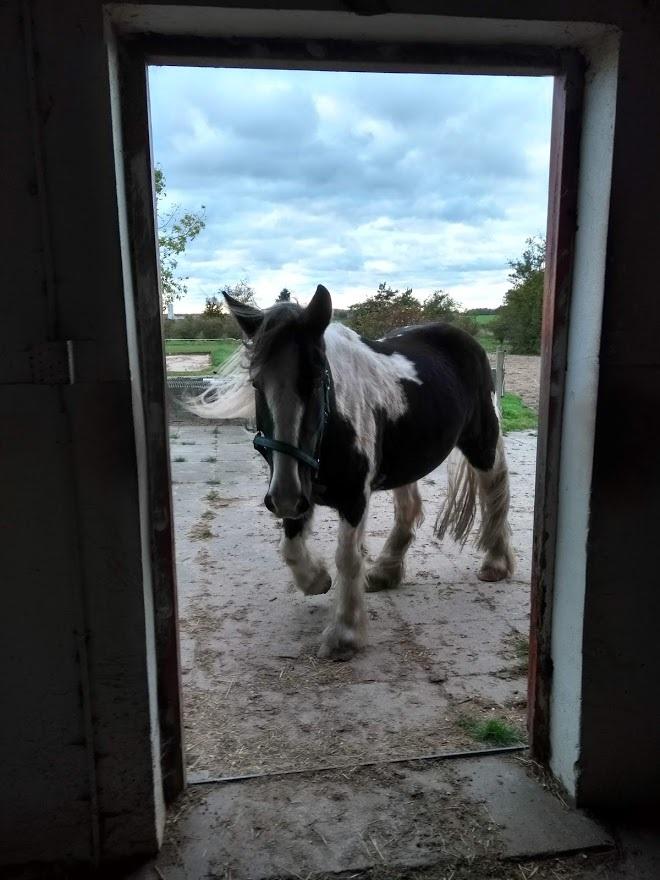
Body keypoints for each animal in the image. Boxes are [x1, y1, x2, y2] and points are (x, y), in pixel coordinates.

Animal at [188, 286, 512, 664]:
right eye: (256, 383)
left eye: (316, 380)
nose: (283, 498)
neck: (332, 424)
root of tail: (463, 339)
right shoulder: (296, 489)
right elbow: (291, 547)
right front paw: (317, 580)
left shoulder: (352, 496)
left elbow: (347, 557)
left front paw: (344, 634)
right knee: (408, 507)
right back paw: (385, 572)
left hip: (482, 444)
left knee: (494, 493)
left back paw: (496, 563)